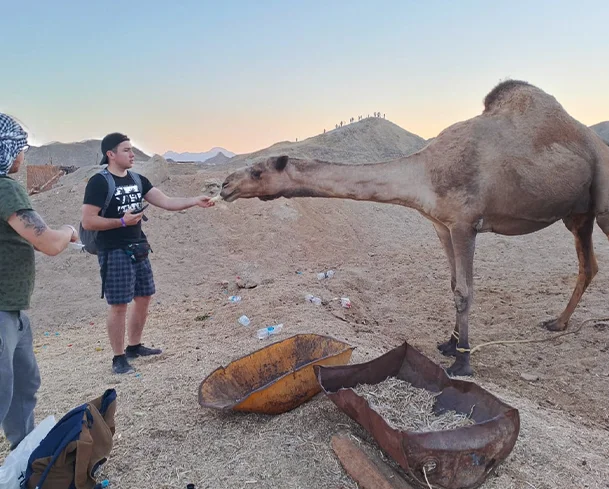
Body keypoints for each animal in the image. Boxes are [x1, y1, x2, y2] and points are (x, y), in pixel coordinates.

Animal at [221, 81, 608, 378]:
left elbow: (465, 292)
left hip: (602, 198)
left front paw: (463, 362)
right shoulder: (441, 225)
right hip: (577, 214)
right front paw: (449, 344)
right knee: (588, 265)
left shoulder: (465, 223)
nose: (224, 185)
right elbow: (452, 285)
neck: (425, 174)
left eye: (257, 171)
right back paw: (557, 323)